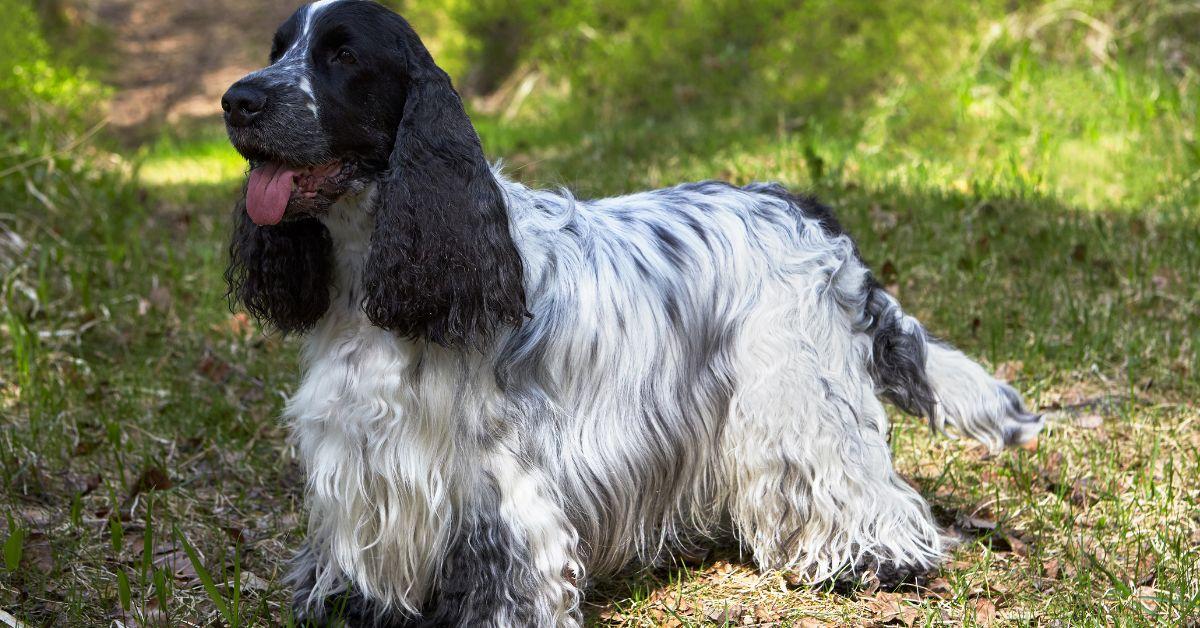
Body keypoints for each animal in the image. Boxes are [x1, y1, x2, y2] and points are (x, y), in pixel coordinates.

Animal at [220, 2, 1046, 624]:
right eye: (278, 48)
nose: (238, 101)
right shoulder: (364, 460)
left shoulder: (498, 479)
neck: (370, 278)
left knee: (853, 480)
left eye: (342, 56)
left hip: (797, 391)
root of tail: (799, 206)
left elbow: (508, 573)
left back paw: (877, 559)